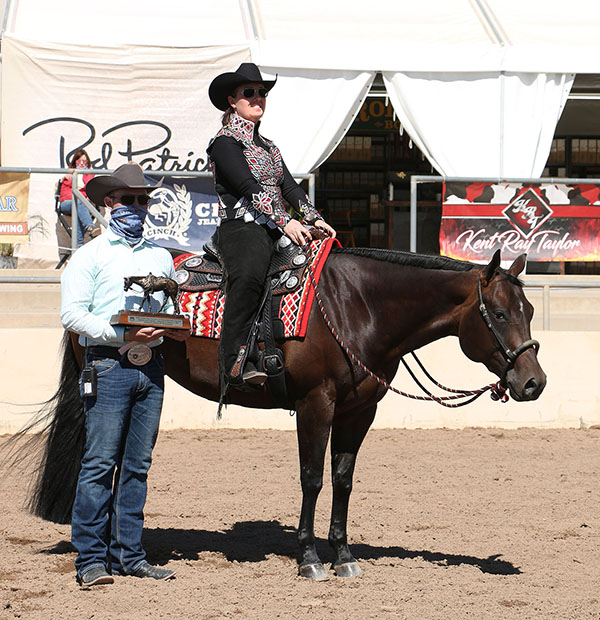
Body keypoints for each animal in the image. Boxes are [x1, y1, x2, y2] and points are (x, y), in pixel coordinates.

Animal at [19, 247, 545, 582]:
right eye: (499, 314)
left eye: (531, 310)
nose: (533, 383)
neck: (357, 306)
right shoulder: (316, 404)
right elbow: (312, 477)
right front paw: (310, 559)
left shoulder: (360, 411)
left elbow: (343, 479)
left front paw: (344, 556)